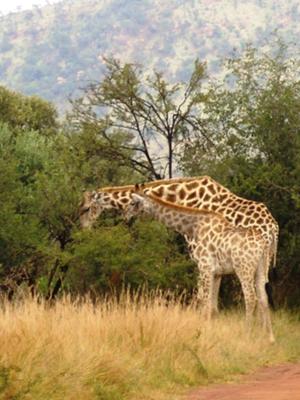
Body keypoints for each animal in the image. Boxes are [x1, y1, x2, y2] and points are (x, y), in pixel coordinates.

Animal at [125, 189, 276, 342]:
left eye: (132, 203)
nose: (126, 217)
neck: (193, 227)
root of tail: (263, 244)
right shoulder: (217, 272)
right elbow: (213, 306)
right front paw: (212, 330)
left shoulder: (205, 267)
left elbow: (204, 300)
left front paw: (204, 331)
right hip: (260, 268)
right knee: (264, 298)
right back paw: (269, 337)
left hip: (244, 269)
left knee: (251, 298)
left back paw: (246, 334)